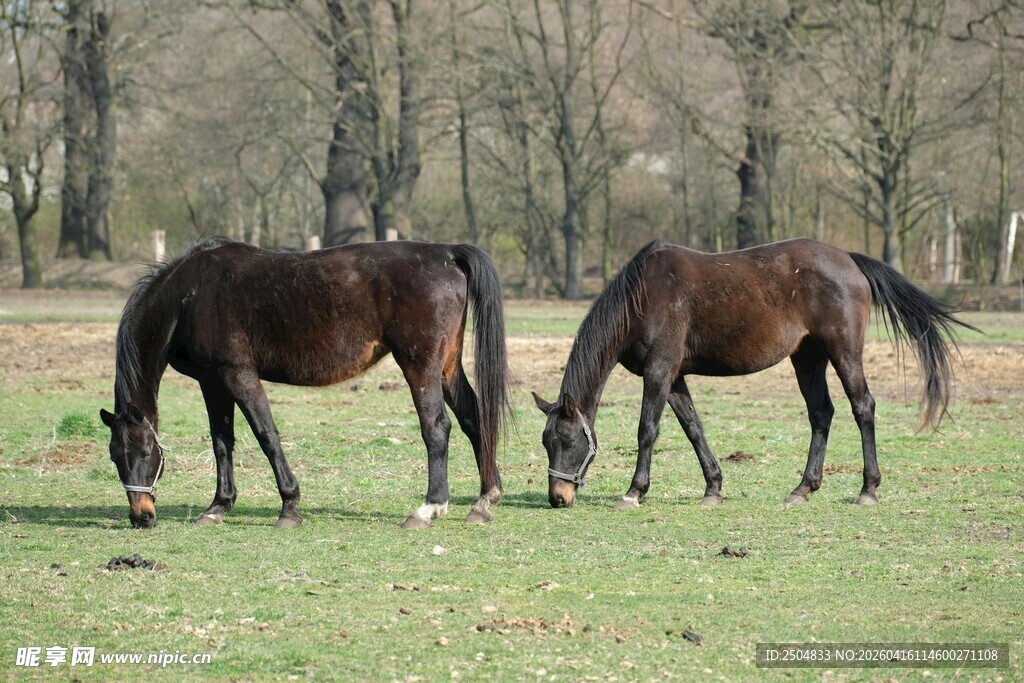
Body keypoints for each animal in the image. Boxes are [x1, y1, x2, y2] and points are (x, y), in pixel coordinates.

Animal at [100, 237, 511, 530]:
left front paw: (289, 506)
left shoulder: (238, 374)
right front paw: (218, 506)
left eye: (144, 453)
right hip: (446, 367)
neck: (190, 296)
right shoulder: (212, 382)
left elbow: (266, 435)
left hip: (420, 365)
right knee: (474, 418)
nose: (141, 516)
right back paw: (484, 500)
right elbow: (222, 443)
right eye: (114, 456)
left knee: (437, 428)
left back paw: (429, 508)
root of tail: (446, 253)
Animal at [533, 238, 977, 510]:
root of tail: (849, 259)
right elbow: (693, 428)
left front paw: (634, 491)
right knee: (822, 414)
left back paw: (867, 489)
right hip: (807, 358)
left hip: (843, 351)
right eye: (545, 442)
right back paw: (803, 488)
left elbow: (647, 430)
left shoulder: (659, 371)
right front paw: (713, 488)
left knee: (862, 407)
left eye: (568, 441)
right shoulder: (673, 377)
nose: (558, 497)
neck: (642, 296)